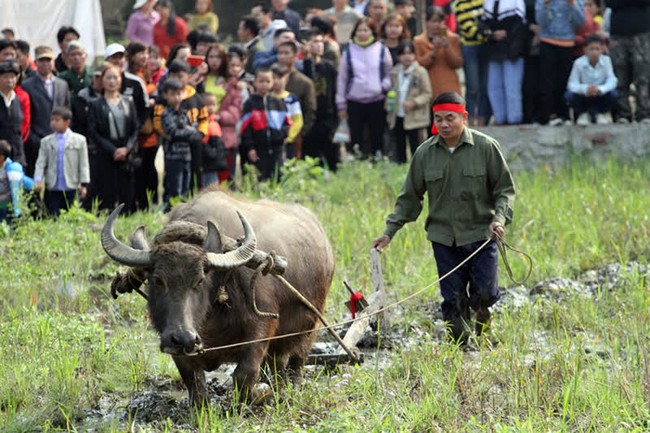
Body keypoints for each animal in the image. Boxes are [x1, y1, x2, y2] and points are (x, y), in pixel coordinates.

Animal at [102, 187, 334, 404]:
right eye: (158, 281)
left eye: (200, 280)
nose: (183, 337)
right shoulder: (176, 346)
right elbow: (194, 383)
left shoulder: (262, 327)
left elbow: (245, 374)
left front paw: (260, 394)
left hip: (311, 325)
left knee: (296, 362)